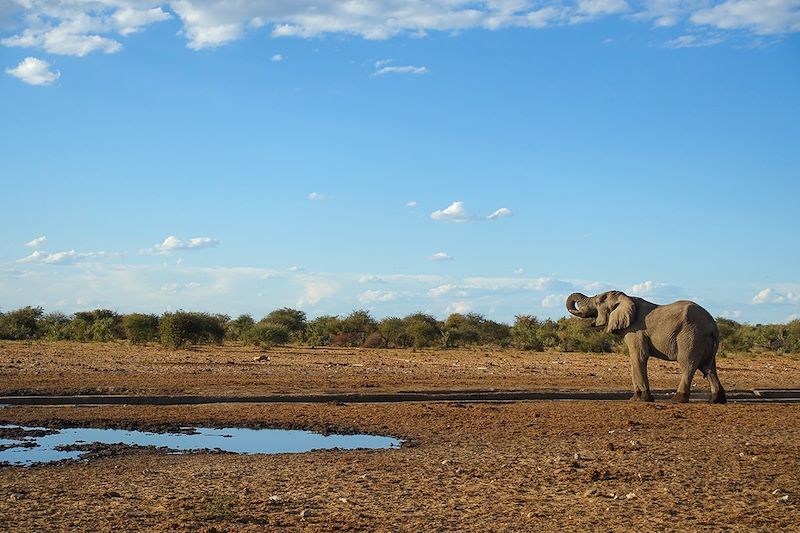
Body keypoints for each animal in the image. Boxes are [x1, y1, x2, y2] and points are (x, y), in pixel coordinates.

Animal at [564, 290, 728, 404]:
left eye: (598, 302)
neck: (626, 297)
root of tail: (712, 325)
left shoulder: (635, 331)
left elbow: (639, 356)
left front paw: (643, 399)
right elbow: (634, 360)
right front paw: (634, 399)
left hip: (690, 336)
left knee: (688, 364)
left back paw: (677, 400)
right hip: (704, 341)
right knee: (708, 368)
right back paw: (715, 401)